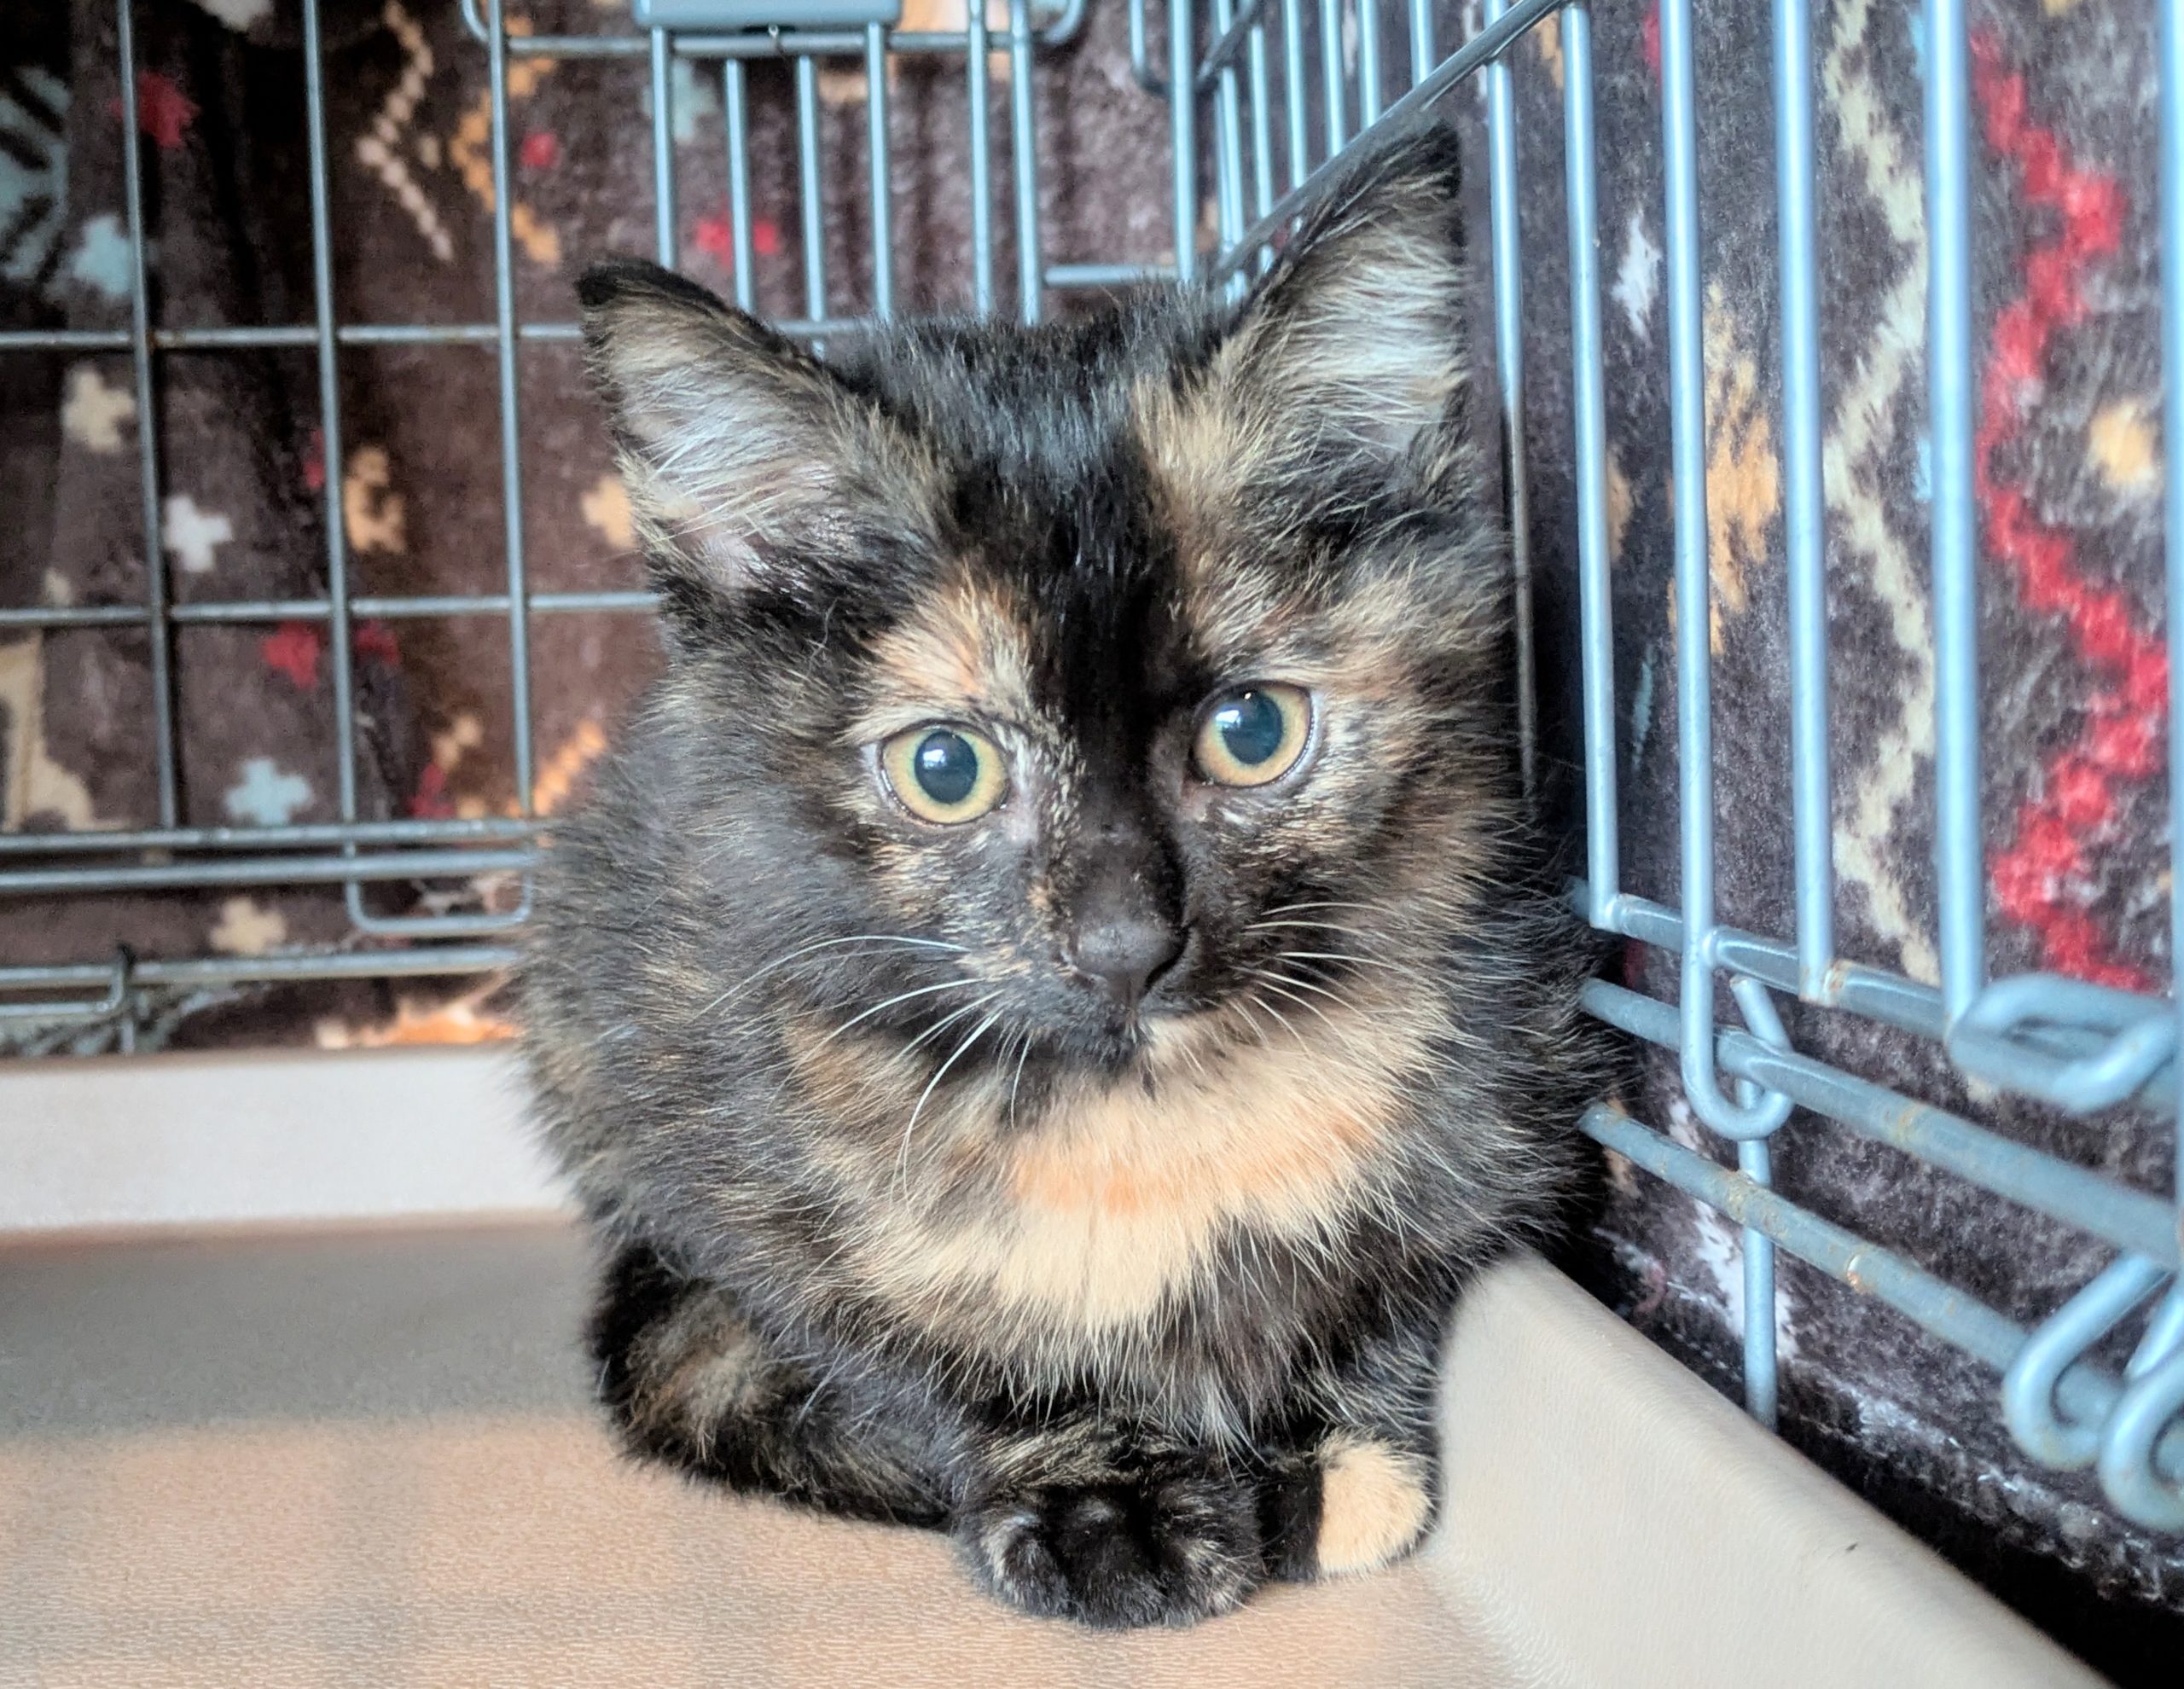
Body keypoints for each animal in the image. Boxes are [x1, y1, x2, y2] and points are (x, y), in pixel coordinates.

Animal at [523, 121, 1607, 1629]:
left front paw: (1331, 1447)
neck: (1141, 1127)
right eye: (945, 767)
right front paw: (1102, 1493)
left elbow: (1396, 1270)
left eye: (1253, 730)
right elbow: (912, 1340)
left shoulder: (1503, 1067)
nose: (1123, 944)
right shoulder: (714, 1150)